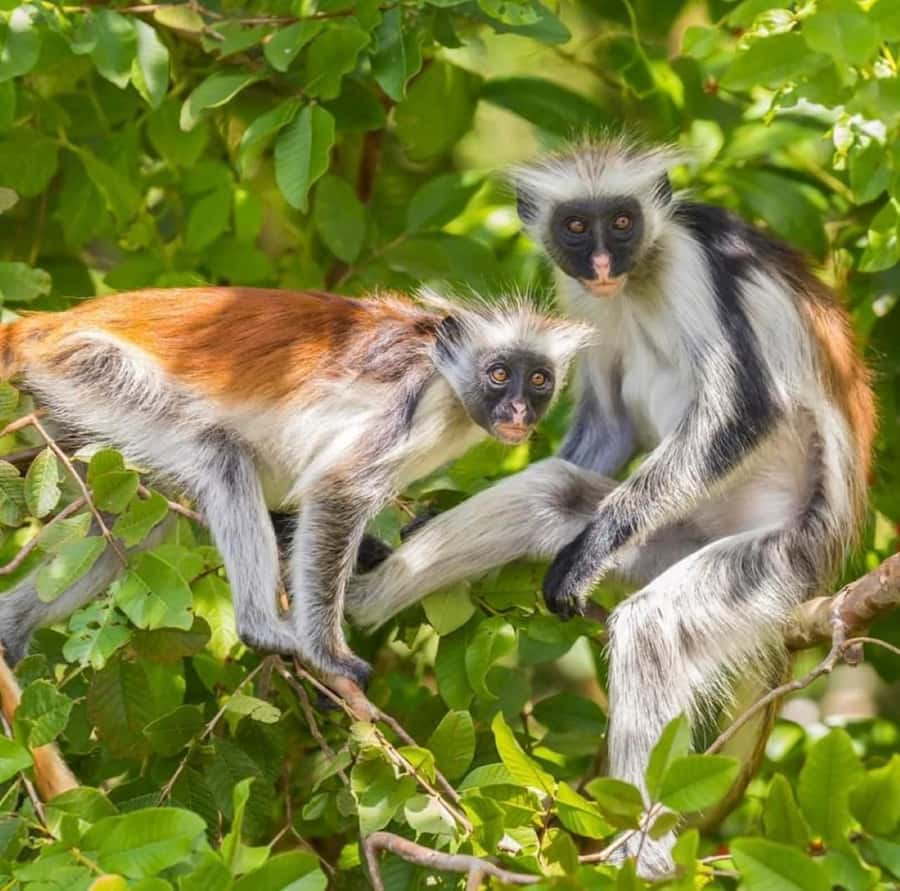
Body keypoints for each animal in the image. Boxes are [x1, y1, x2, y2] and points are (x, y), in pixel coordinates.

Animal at [0, 286, 590, 692]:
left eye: (538, 379)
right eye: (499, 374)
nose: (518, 410)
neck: (443, 366)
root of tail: (49, 325)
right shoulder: (414, 398)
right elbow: (337, 490)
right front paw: (327, 652)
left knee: (134, 523)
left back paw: (10, 626)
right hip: (92, 368)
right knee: (220, 457)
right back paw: (262, 628)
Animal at [345, 139, 875, 873]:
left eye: (622, 223)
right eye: (576, 226)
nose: (600, 263)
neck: (638, 276)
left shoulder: (691, 260)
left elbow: (745, 409)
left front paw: (590, 550)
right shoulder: (580, 298)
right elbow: (608, 423)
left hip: (780, 554)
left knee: (653, 626)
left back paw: (642, 855)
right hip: (671, 537)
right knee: (552, 492)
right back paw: (356, 597)